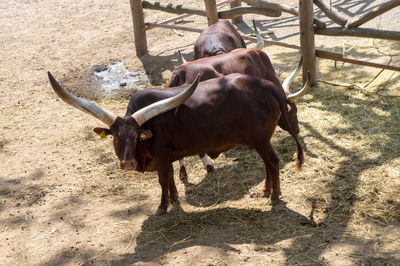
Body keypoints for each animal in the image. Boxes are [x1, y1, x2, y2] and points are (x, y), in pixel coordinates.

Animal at [50, 71, 306, 215]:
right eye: (115, 137)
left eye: (135, 137)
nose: (127, 164)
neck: (150, 126)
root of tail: (266, 85)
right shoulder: (168, 156)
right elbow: (172, 178)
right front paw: (174, 199)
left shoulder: (161, 155)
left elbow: (163, 180)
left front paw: (162, 207)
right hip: (261, 141)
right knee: (268, 164)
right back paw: (266, 190)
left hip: (260, 139)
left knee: (273, 162)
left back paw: (275, 197)